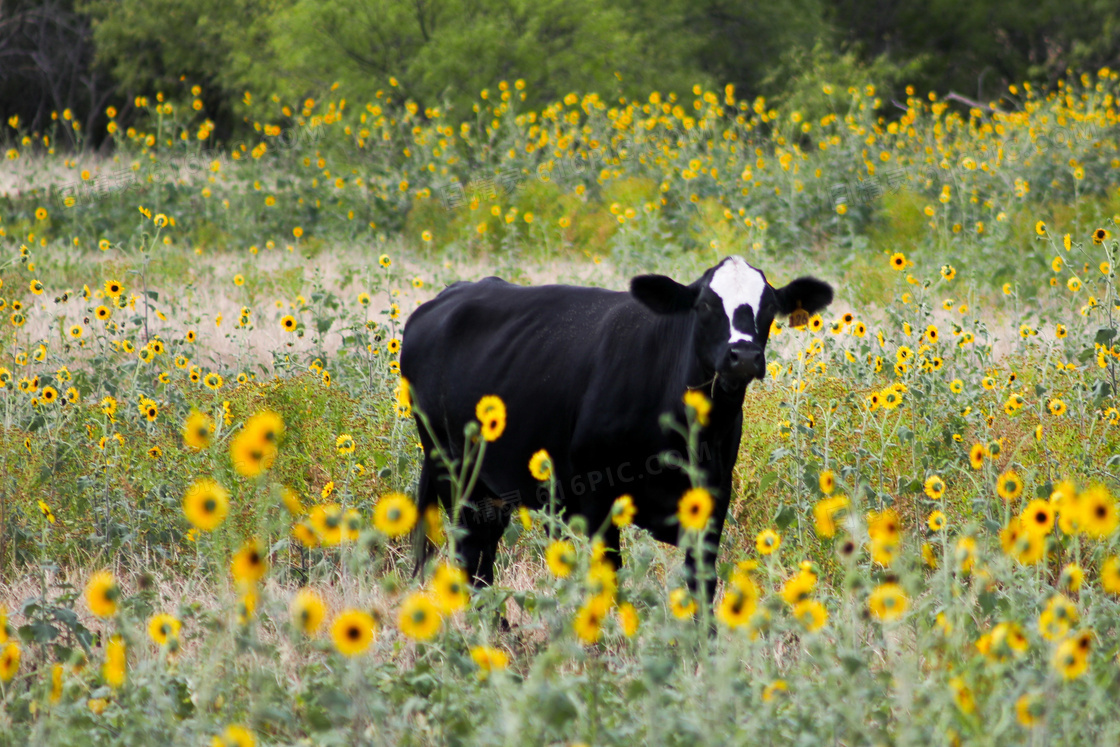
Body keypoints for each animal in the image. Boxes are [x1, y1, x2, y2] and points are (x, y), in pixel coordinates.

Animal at [403, 259, 833, 600]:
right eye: (705, 305)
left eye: (770, 307)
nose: (743, 356)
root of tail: (448, 295)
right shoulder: (596, 498)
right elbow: (608, 578)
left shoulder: (714, 496)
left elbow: (702, 585)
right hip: (455, 474)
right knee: (470, 558)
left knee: (482, 559)